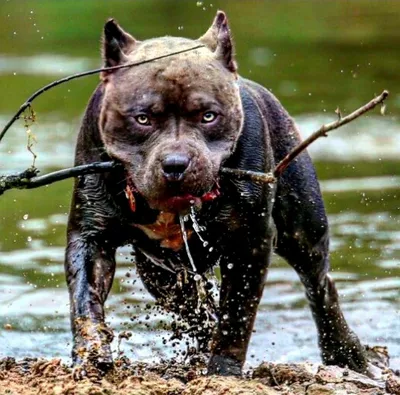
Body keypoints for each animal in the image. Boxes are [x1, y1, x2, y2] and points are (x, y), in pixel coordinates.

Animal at [65, 10, 368, 378]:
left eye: (208, 116)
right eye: (143, 119)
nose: (176, 163)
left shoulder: (250, 243)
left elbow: (236, 315)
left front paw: (223, 371)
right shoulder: (91, 237)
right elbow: (85, 299)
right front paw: (92, 355)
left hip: (303, 231)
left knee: (320, 286)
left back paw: (346, 354)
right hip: (161, 275)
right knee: (194, 308)